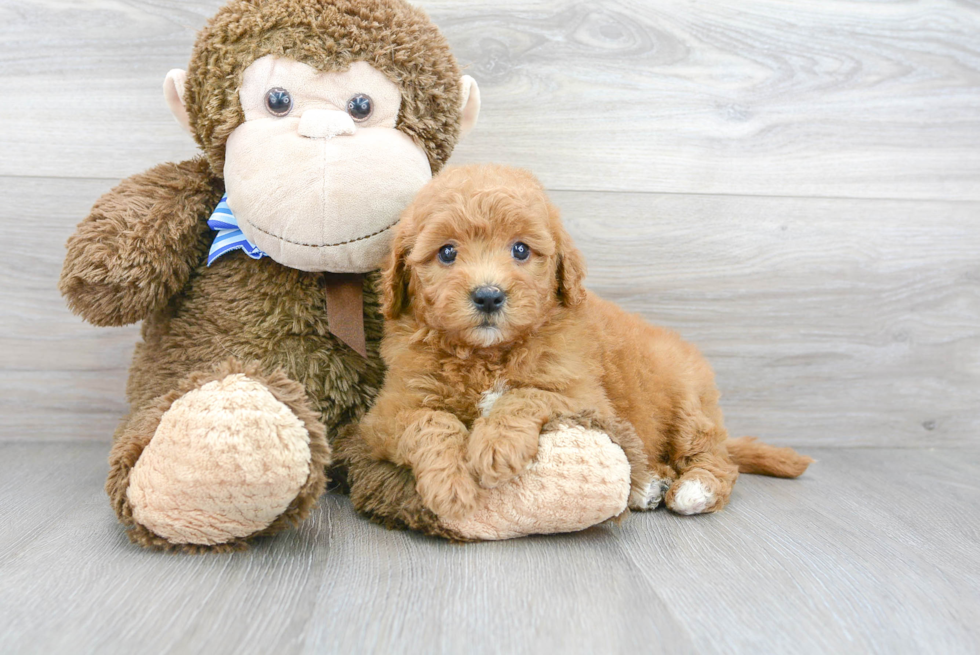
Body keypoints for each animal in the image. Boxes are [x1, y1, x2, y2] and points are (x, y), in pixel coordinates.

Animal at [354, 165, 812, 524]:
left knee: (716, 457)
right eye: (447, 253)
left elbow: (525, 394)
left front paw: (496, 445)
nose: (488, 296)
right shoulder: (386, 414)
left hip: (687, 403)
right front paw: (450, 484)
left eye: (520, 250)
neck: (487, 355)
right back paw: (650, 484)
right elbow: (431, 421)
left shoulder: (582, 395)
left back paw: (694, 488)